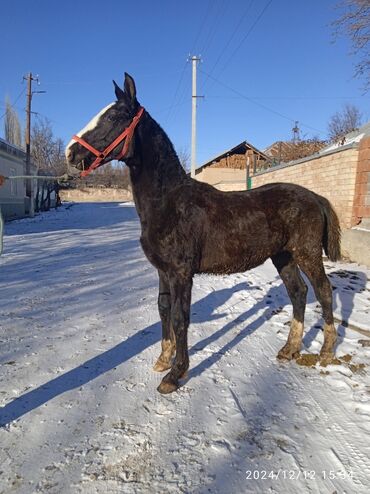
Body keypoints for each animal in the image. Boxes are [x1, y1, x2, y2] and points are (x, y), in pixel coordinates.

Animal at [66, 73, 342, 396]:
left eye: (113, 116)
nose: (70, 153)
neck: (170, 201)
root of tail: (315, 197)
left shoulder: (181, 273)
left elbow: (180, 316)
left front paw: (174, 374)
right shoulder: (163, 271)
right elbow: (163, 309)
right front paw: (163, 359)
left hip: (307, 254)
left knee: (323, 291)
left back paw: (325, 352)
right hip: (283, 257)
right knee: (298, 293)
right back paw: (289, 349)